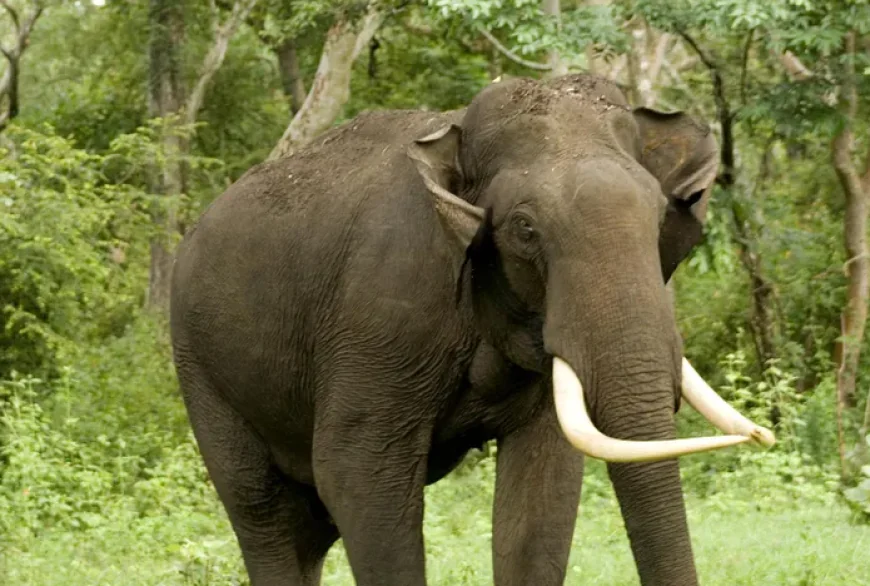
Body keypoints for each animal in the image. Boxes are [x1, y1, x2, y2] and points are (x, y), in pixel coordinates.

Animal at [169, 74, 774, 586]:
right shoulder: (380, 312)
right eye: (524, 229)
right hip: (200, 367)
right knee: (261, 509)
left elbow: (542, 494)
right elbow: (357, 474)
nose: (762, 436)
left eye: (658, 216)